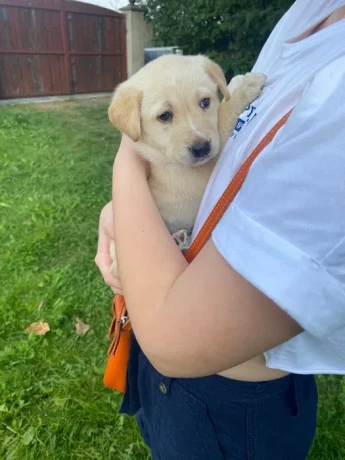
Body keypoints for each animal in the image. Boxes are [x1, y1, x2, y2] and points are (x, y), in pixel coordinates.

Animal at [109, 55, 264, 274]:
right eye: (164, 116)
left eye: (205, 102)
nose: (202, 148)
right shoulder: (212, 153)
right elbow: (225, 114)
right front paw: (246, 86)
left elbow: (221, 105)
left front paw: (234, 83)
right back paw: (180, 243)